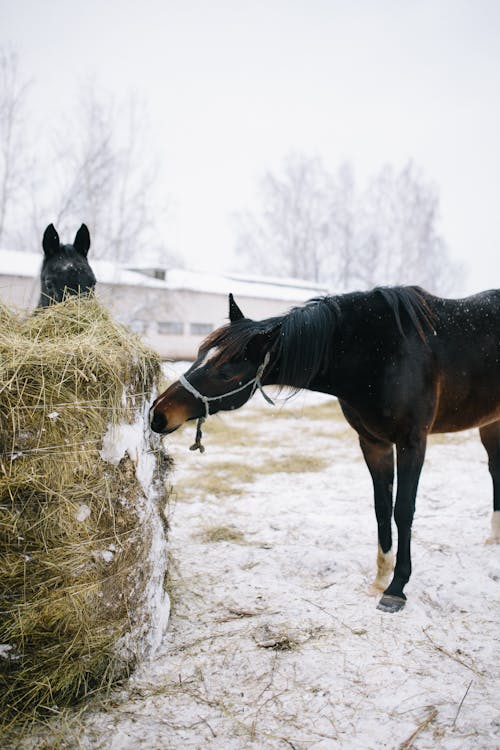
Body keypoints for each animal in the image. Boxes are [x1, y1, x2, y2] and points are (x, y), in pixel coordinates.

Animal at [150, 288, 500, 612]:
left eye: (225, 372)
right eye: (200, 354)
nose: (158, 414)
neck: (379, 352)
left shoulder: (412, 442)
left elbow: (403, 510)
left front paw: (396, 588)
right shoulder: (373, 443)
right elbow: (382, 508)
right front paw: (380, 578)